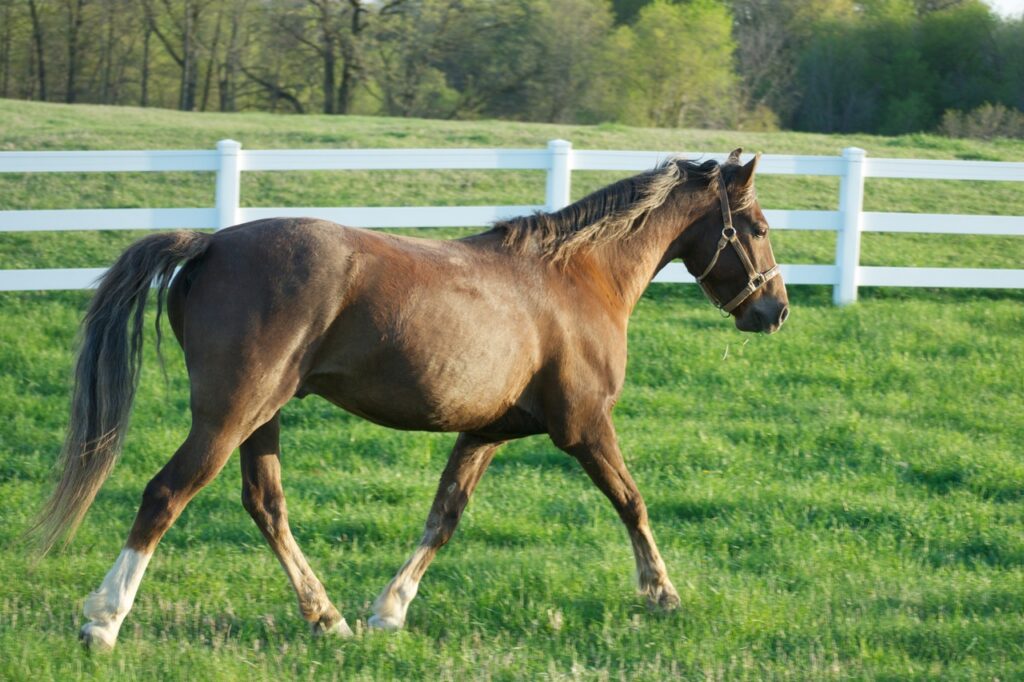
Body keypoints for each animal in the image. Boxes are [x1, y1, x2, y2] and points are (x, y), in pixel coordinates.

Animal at [31, 148, 788, 651]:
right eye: (756, 225)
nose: (774, 310)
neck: (575, 279)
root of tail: (211, 243)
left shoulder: (485, 433)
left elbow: (443, 517)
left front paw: (388, 610)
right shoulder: (584, 427)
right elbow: (632, 501)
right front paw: (662, 593)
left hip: (261, 417)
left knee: (265, 506)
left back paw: (327, 618)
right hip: (229, 414)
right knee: (166, 493)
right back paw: (102, 619)